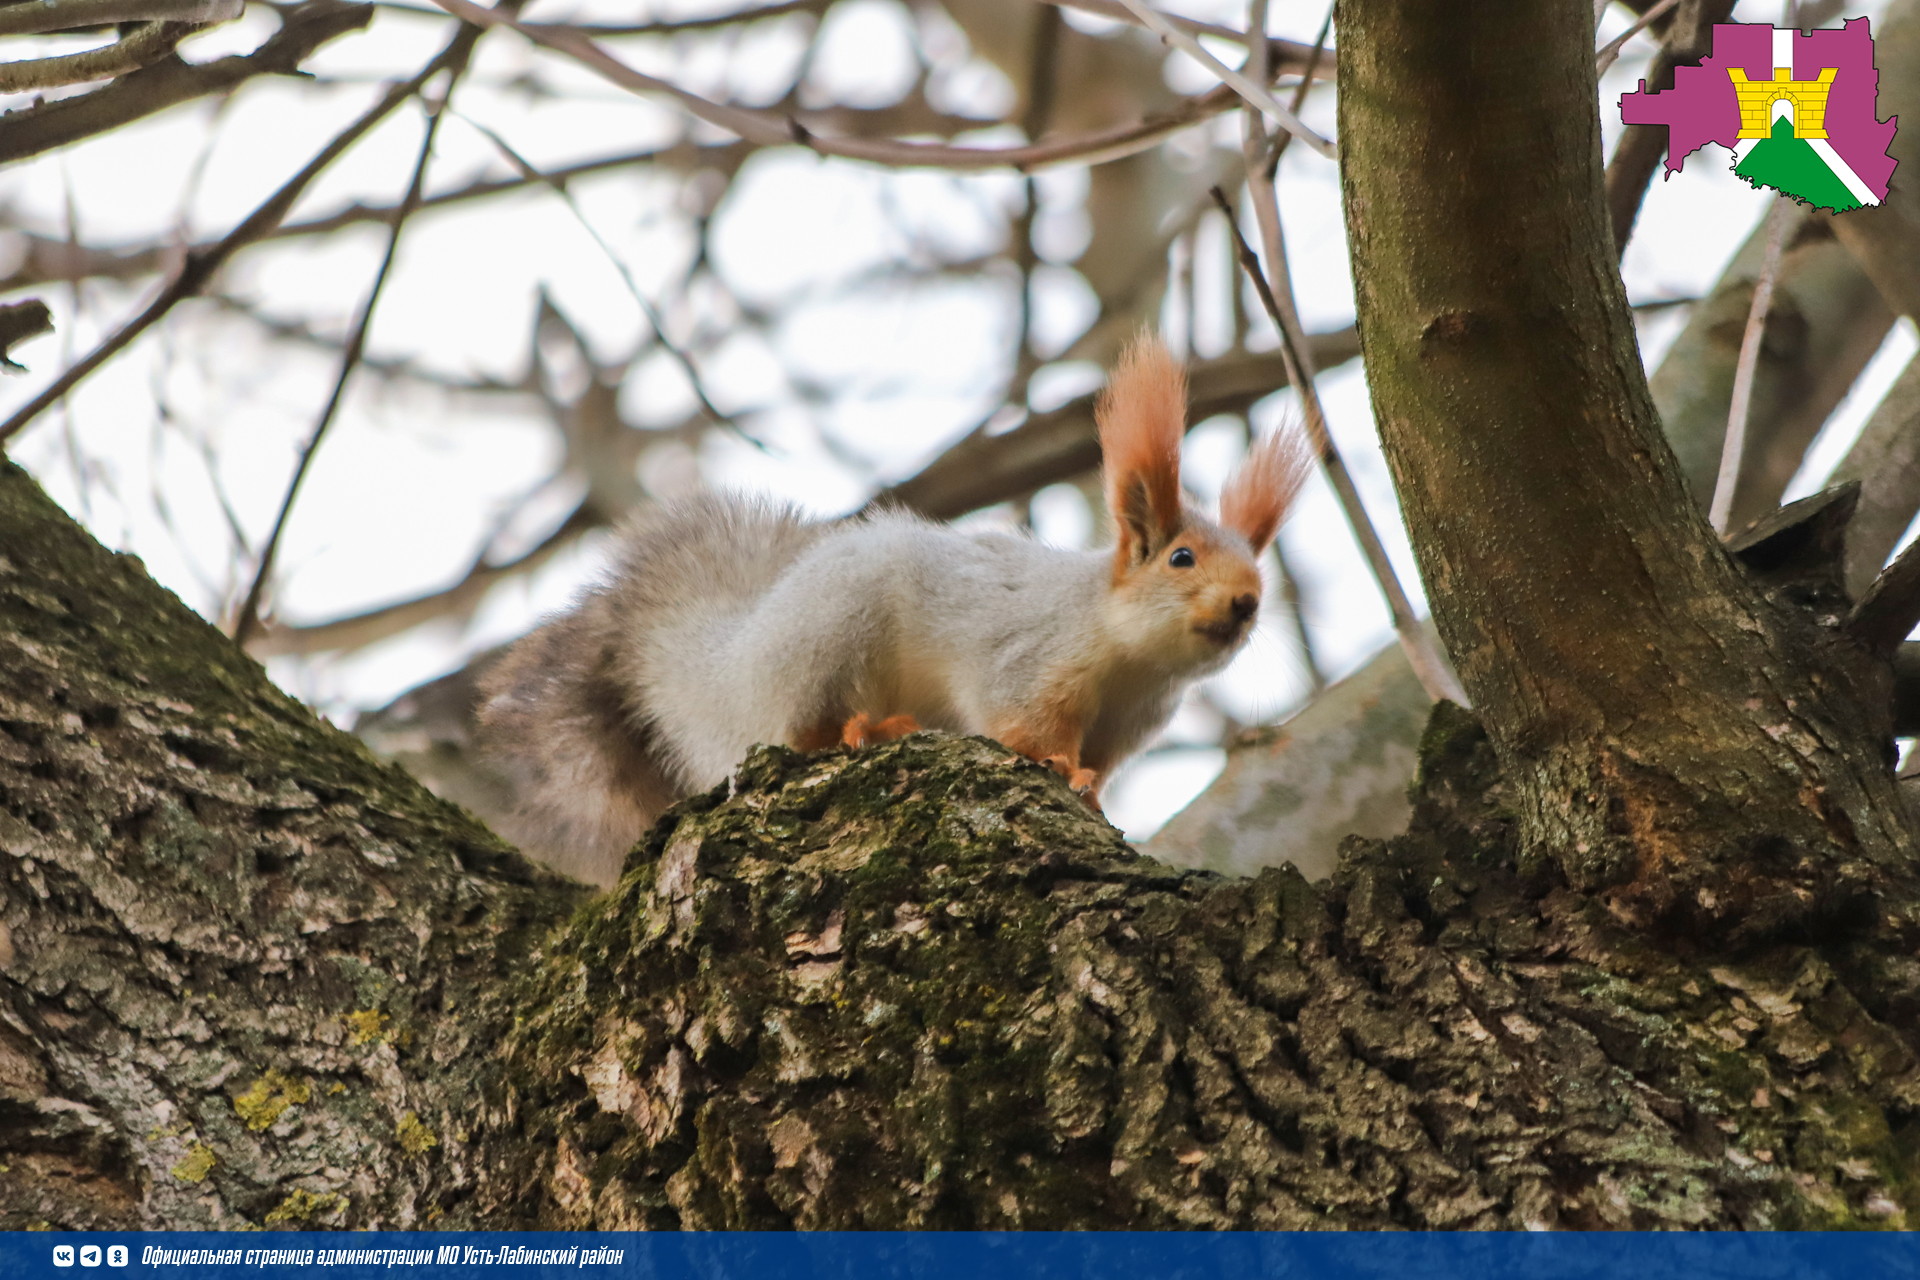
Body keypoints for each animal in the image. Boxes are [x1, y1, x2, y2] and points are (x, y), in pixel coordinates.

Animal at [474, 335, 1313, 886]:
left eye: (1257, 570)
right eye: (1181, 559)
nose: (1246, 604)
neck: (1133, 659)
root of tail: (739, 665)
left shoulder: (1130, 722)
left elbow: (1099, 766)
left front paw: (1092, 792)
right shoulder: (1034, 659)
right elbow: (1021, 721)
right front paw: (1051, 763)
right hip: (831, 642)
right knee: (804, 730)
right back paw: (866, 729)